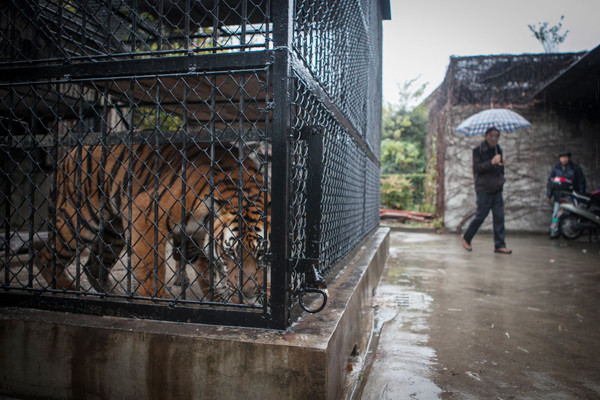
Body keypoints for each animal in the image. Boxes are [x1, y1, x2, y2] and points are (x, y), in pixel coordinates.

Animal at [36, 142, 270, 304]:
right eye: (230, 253)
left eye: (260, 253)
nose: (248, 292)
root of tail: (68, 153)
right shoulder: (146, 211)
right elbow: (152, 267)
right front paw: (158, 299)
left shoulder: (196, 237)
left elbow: (208, 271)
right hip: (79, 221)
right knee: (45, 254)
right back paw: (69, 289)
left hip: (113, 234)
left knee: (92, 266)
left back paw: (113, 294)